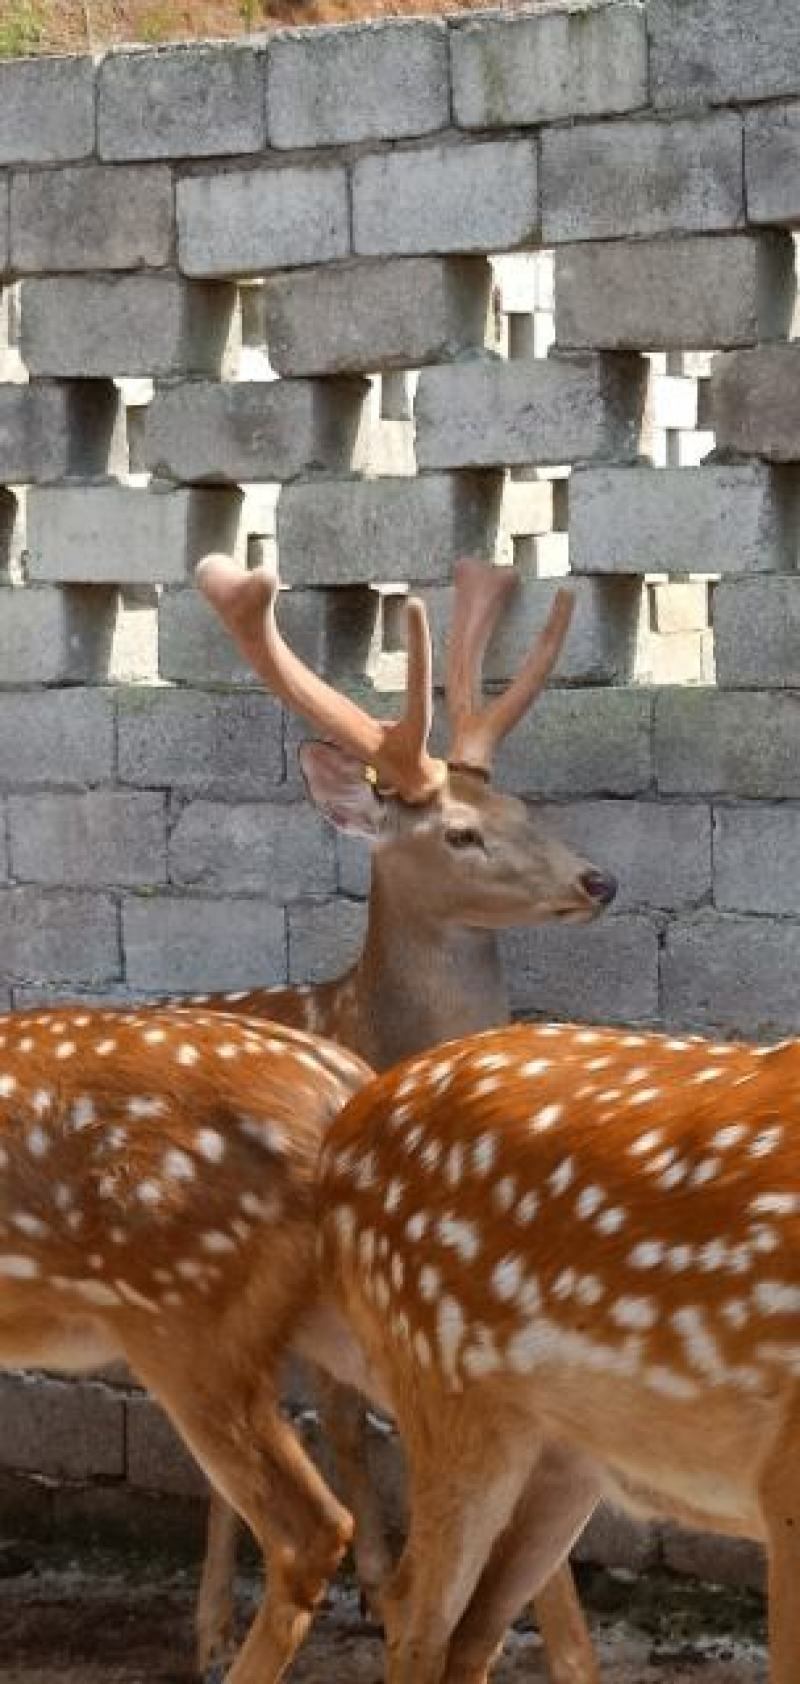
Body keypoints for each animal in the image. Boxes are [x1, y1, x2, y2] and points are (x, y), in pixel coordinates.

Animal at [184, 554, 617, 1682]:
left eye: (522, 803)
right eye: (460, 832)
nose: (598, 877)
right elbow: (357, 1427)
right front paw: (391, 1592)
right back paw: (218, 1625)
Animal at [320, 1018, 800, 1684]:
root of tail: (341, 1131)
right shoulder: (785, 1482)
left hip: (565, 1456)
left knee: (475, 1630)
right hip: (444, 1388)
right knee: (417, 1613)